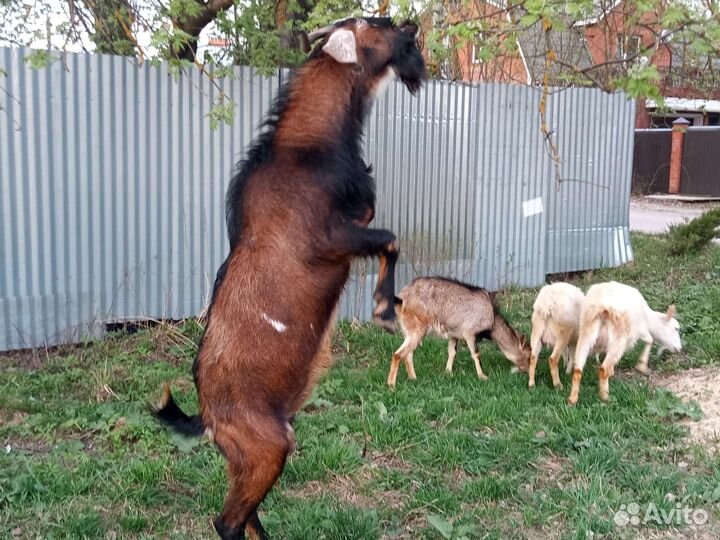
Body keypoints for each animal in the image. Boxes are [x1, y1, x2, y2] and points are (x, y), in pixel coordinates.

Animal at [153, 17, 426, 539]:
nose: (411, 24)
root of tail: (207, 417)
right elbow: (390, 239)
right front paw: (385, 309)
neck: (307, 147)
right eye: (371, 24)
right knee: (227, 521)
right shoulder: (331, 238)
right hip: (267, 447)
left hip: (252, 456)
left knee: (247, 514)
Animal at [387, 277, 531, 388]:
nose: (528, 371)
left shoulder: (454, 334)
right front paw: (483, 376)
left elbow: (452, 352)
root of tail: (402, 298)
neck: (492, 319)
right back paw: (391, 385)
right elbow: (476, 354)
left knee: (408, 354)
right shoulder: (469, 332)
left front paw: (448, 372)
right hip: (417, 329)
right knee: (398, 354)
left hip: (410, 330)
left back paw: (413, 378)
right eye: (529, 355)